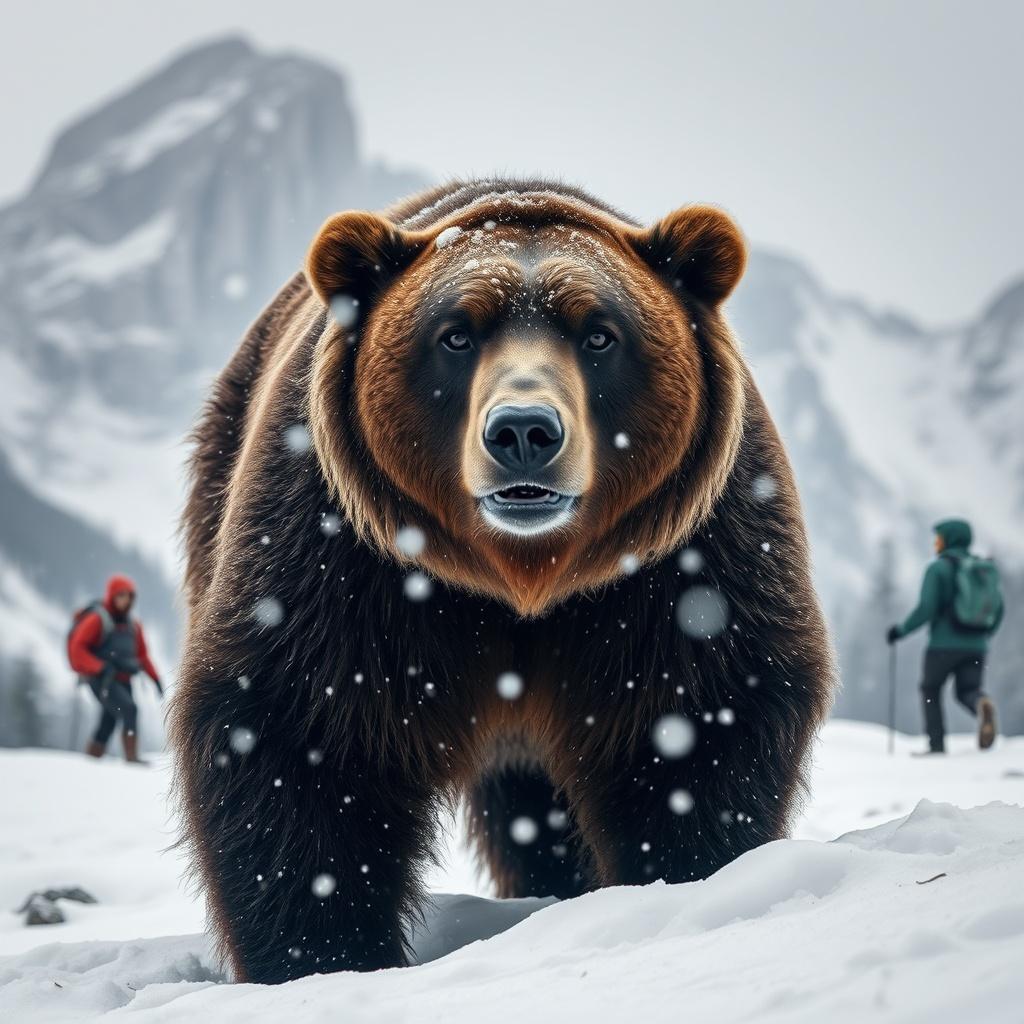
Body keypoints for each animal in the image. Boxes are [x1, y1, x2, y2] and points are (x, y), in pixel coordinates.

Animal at [171, 178, 835, 984]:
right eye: (456, 334)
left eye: (600, 334)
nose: (523, 432)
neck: (522, 579)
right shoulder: (340, 560)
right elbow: (300, 735)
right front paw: (326, 956)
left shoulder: (684, 566)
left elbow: (690, 727)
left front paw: (686, 881)